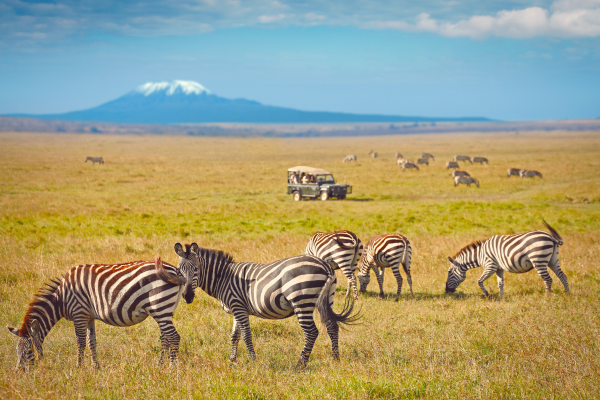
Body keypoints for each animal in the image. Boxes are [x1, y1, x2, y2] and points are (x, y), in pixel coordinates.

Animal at [6, 256, 185, 372]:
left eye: (28, 352)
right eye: (16, 352)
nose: (19, 373)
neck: (61, 298)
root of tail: (175, 270)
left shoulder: (79, 313)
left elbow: (80, 342)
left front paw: (78, 367)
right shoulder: (89, 316)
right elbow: (91, 342)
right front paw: (95, 367)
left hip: (160, 306)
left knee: (174, 337)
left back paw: (172, 368)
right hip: (164, 309)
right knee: (166, 338)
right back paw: (160, 365)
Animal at [175, 242, 360, 368]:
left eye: (196, 269)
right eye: (178, 270)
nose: (187, 296)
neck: (224, 278)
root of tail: (325, 265)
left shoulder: (238, 307)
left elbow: (246, 335)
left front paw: (252, 360)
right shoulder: (237, 309)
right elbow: (234, 336)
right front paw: (232, 360)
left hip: (302, 300)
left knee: (311, 332)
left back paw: (301, 364)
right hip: (327, 299)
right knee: (331, 326)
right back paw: (335, 358)